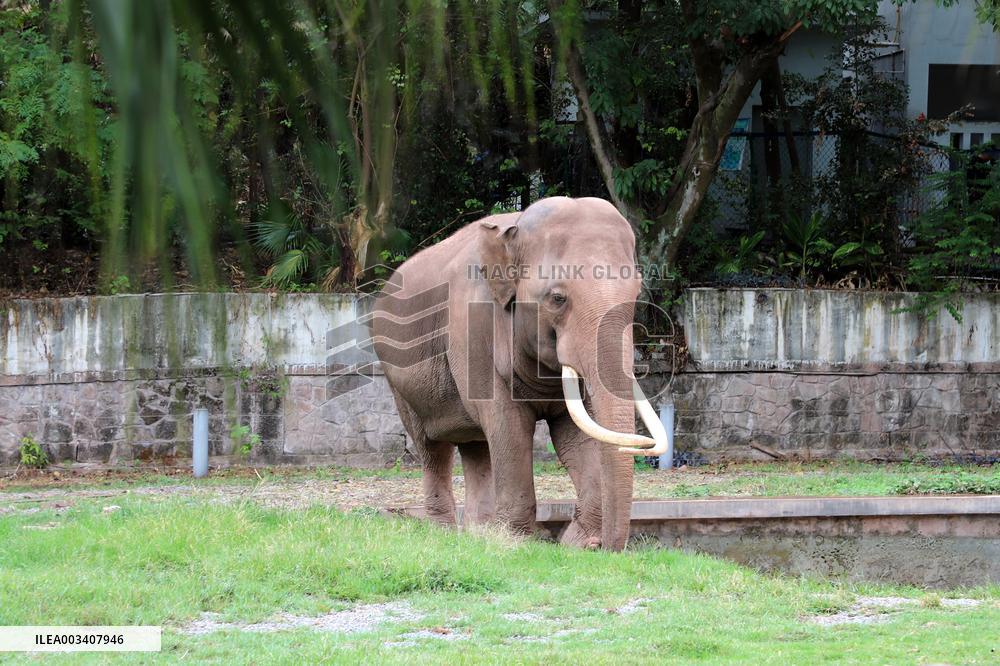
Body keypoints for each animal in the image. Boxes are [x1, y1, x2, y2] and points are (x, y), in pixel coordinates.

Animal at [371, 196, 666, 550]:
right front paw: (514, 543)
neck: (515, 228)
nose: (606, 549)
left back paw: (478, 533)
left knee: (476, 446)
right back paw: (444, 533)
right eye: (557, 298)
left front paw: (577, 545)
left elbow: (576, 435)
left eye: (636, 293)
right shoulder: (472, 329)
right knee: (433, 448)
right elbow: (508, 426)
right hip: (397, 379)